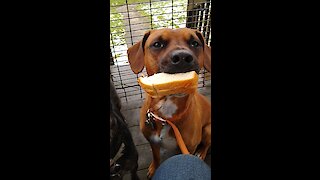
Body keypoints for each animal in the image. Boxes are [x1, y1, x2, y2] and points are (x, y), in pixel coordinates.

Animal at [126, 27, 211, 178]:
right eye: (157, 44)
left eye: (195, 43)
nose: (183, 57)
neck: (166, 115)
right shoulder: (153, 142)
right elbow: (156, 157)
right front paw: (154, 169)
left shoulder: (189, 148)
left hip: (208, 130)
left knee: (206, 144)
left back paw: (201, 153)